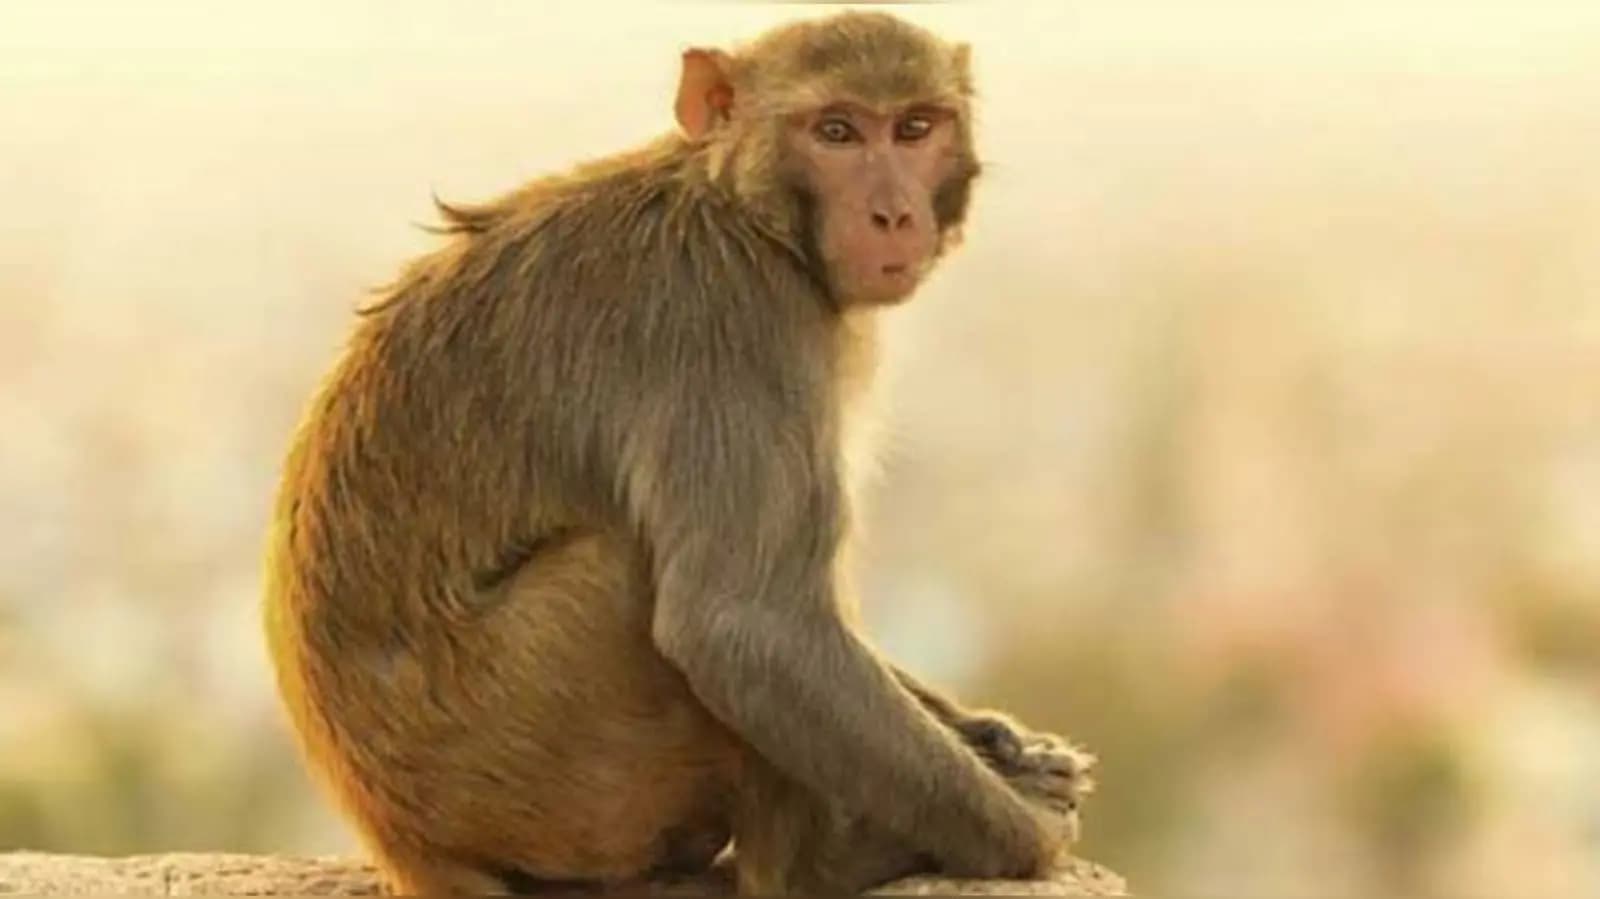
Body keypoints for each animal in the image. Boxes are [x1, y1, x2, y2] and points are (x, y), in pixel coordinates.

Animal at [263, 11, 1093, 896]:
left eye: (914, 128)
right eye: (835, 131)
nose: (893, 214)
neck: (744, 212)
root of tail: (402, 841)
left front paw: (989, 738)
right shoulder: (731, 323)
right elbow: (746, 627)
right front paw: (1028, 836)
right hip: (543, 769)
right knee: (641, 582)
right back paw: (820, 862)